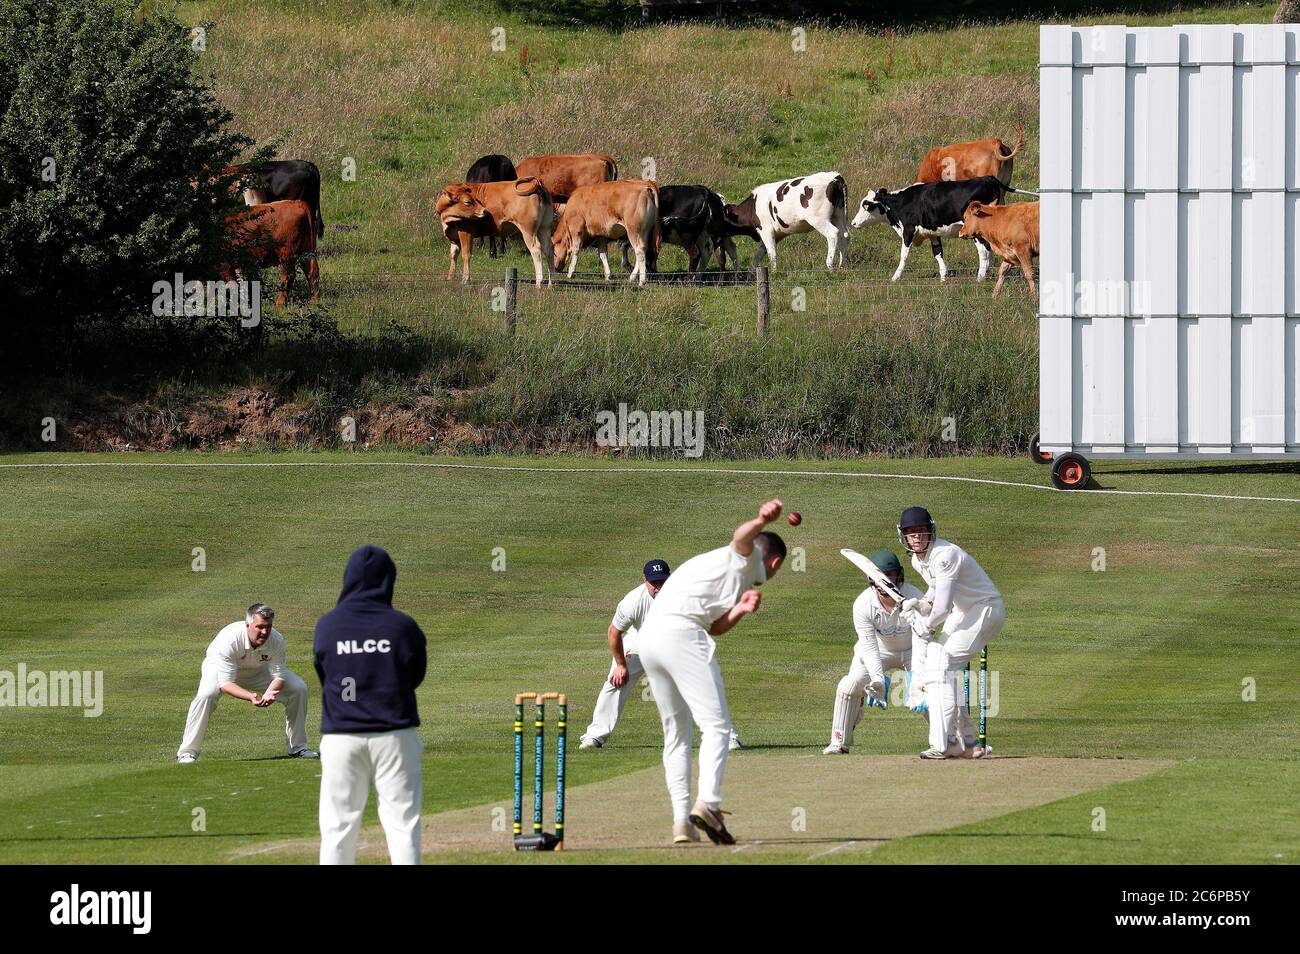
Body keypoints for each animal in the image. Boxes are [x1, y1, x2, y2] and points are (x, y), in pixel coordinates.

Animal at [717, 170, 847, 269]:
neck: (752, 206)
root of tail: (834, 176)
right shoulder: (777, 233)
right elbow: (759, 253)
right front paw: (752, 272)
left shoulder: (766, 230)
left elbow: (771, 253)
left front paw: (774, 271)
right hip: (839, 215)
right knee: (845, 235)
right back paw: (841, 265)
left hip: (819, 219)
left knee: (833, 233)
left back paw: (829, 265)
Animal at [852, 175, 1034, 282]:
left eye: (866, 206)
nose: (853, 223)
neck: (901, 203)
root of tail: (988, 178)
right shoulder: (932, 233)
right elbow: (938, 253)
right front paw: (943, 276)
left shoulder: (908, 230)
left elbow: (904, 255)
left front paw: (895, 277)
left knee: (983, 250)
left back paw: (980, 278)